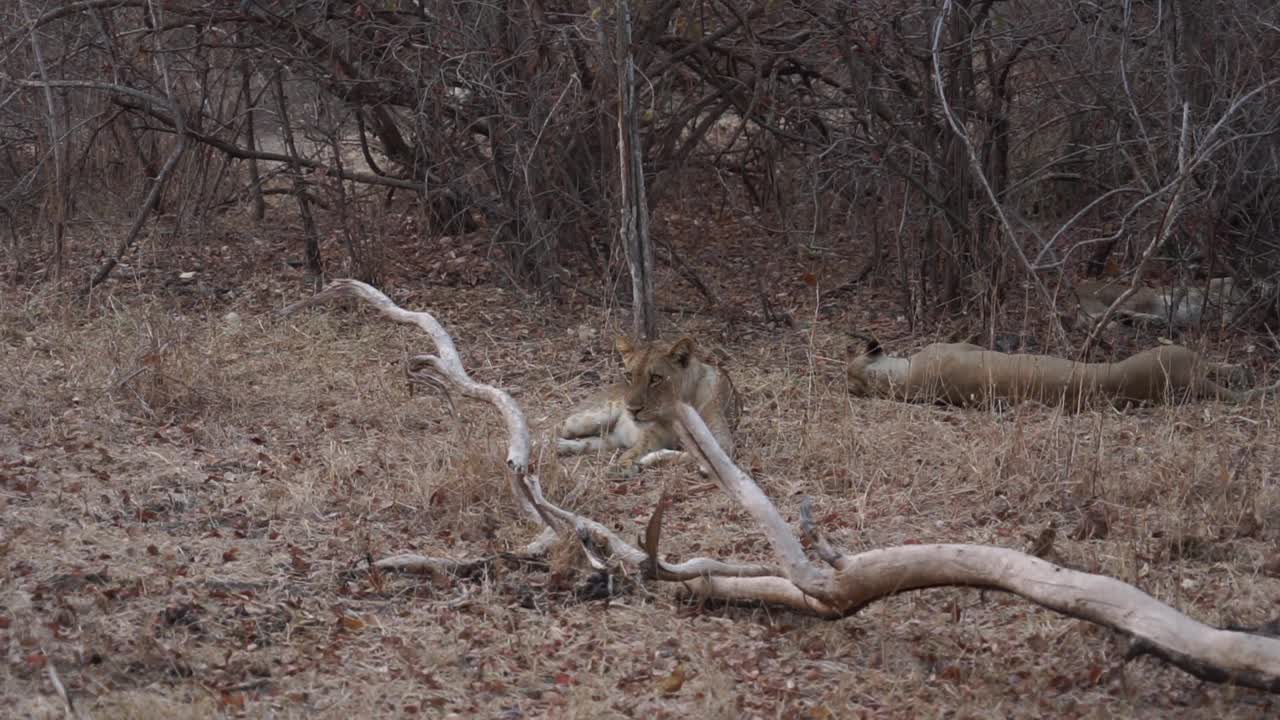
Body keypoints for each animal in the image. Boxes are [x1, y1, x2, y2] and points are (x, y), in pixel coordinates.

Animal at [558, 333, 747, 474]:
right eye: (629, 376)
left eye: (656, 378)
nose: (632, 410)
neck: (675, 412)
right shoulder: (651, 436)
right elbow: (635, 451)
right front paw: (624, 467)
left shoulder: (723, 443)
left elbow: (689, 456)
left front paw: (645, 461)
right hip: (594, 417)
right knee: (557, 426)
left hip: (610, 439)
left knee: (588, 443)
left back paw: (561, 447)